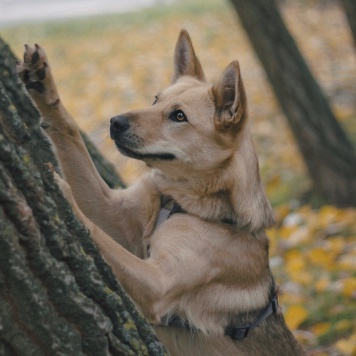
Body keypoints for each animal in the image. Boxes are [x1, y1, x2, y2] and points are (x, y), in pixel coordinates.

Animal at [18, 29, 304, 354]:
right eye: (156, 99)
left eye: (179, 116)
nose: (115, 122)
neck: (185, 202)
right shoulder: (110, 208)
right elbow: (70, 134)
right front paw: (42, 85)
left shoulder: (158, 284)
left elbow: (97, 233)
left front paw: (59, 190)